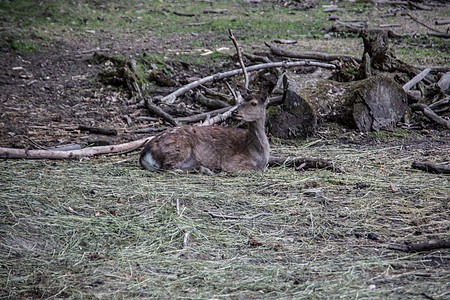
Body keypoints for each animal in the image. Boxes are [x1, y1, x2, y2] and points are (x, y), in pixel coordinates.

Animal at [139, 87, 268, 173]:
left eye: (254, 103)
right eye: (241, 102)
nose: (234, 112)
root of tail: (144, 154)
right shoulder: (230, 161)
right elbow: (256, 169)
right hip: (178, 148)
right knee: (167, 167)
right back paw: (205, 169)